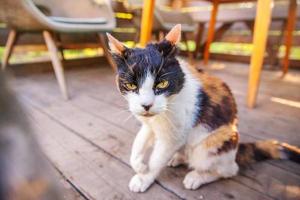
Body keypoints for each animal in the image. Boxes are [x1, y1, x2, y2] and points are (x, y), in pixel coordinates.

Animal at [106, 24, 298, 193]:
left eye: (162, 83)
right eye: (131, 85)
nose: (146, 105)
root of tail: (236, 150)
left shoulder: (173, 136)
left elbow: (156, 159)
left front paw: (144, 178)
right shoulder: (150, 126)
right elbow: (138, 143)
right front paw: (139, 166)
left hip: (213, 143)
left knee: (228, 170)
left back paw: (196, 177)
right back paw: (177, 158)